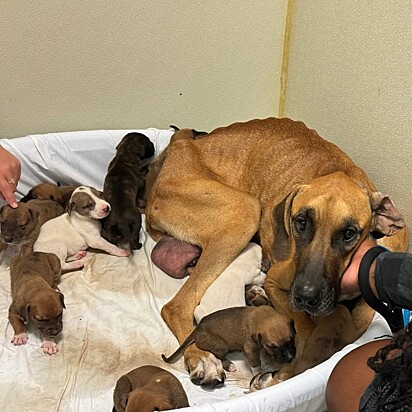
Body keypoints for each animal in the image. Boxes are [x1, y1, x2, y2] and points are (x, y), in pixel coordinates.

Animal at [162, 306, 296, 376]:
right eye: (273, 346)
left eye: (291, 339)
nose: (290, 358)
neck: (262, 316)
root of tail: (198, 327)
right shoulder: (250, 348)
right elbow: (255, 363)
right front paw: (258, 373)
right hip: (221, 346)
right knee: (219, 356)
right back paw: (229, 365)